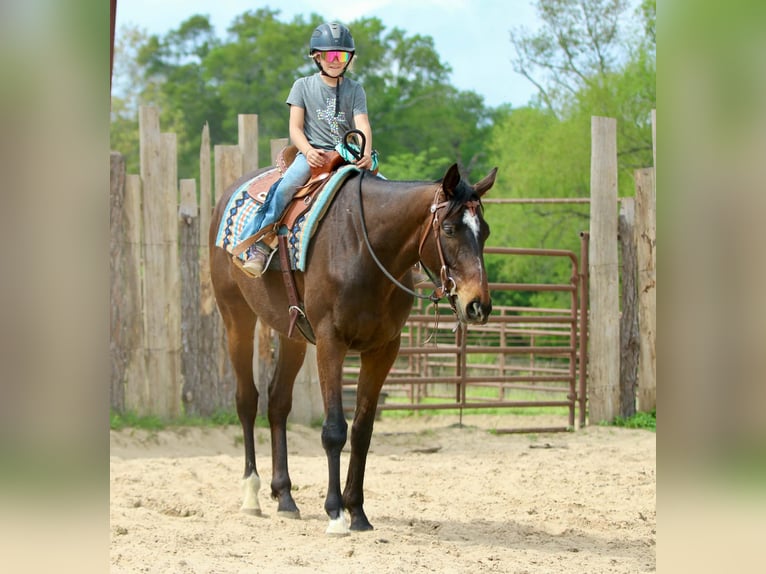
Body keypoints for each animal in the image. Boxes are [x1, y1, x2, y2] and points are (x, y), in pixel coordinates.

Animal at [209, 161, 497, 535]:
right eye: (448, 229)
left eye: (485, 232)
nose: (478, 305)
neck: (363, 247)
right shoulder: (331, 342)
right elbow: (334, 429)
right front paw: (335, 513)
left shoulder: (384, 349)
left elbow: (362, 430)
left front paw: (357, 512)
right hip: (237, 318)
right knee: (247, 401)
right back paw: (251, 495)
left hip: (292, 335)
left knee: (277, 403)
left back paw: (285, 496)